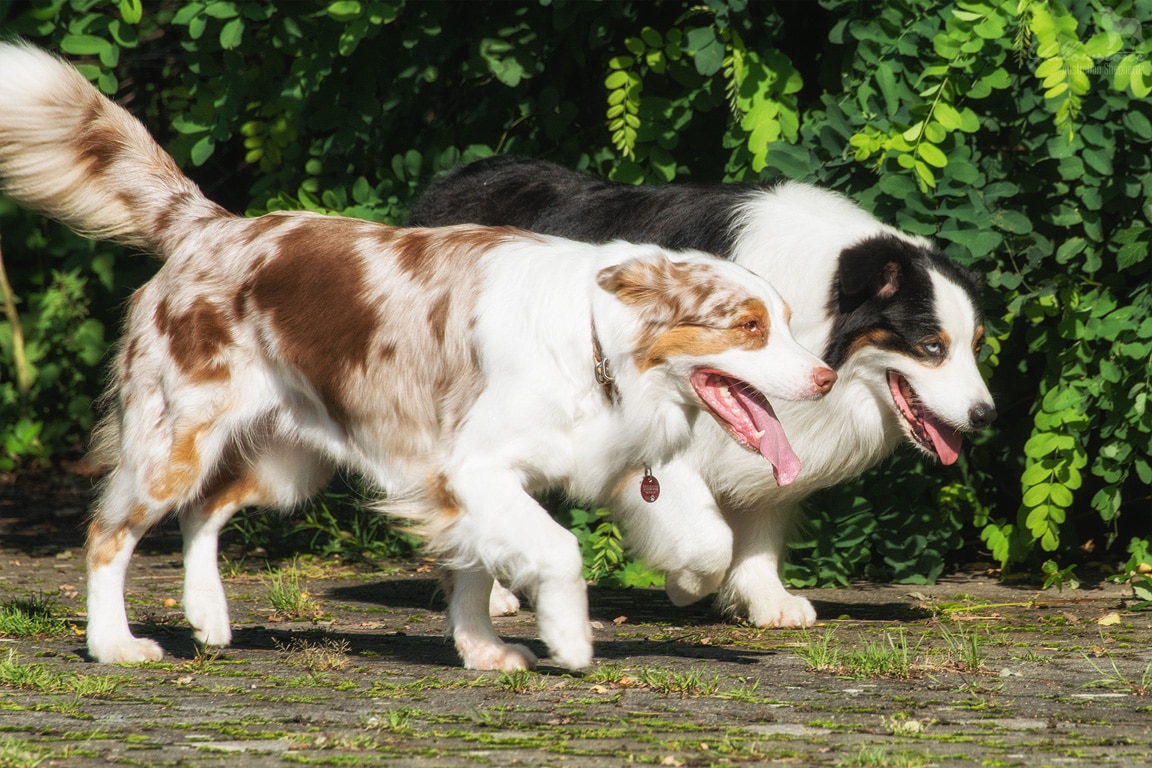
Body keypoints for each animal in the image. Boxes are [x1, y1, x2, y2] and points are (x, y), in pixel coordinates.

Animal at [410, 157, 995, 630]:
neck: (819, 307)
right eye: (931, 346)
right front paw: (686, 584)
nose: (985, 415)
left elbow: (763, 512)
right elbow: (710, 538)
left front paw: (765, 600)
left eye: (977, 344)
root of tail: (441, 188)